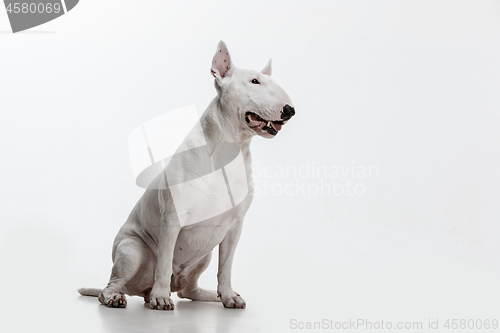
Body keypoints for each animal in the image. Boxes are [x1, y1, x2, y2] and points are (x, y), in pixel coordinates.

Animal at [77, 40, 294, 308]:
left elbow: (226, 266)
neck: (229, 151)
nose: (290, 110)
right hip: (131, 251)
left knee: (188, 291)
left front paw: (229, 296)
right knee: (113, 285)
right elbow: (164, 261)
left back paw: (213, 296)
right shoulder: (172, 219)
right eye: (254, 81)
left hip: (205, 256)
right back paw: (124, 297)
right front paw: (161, 298)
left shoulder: (235, 227)